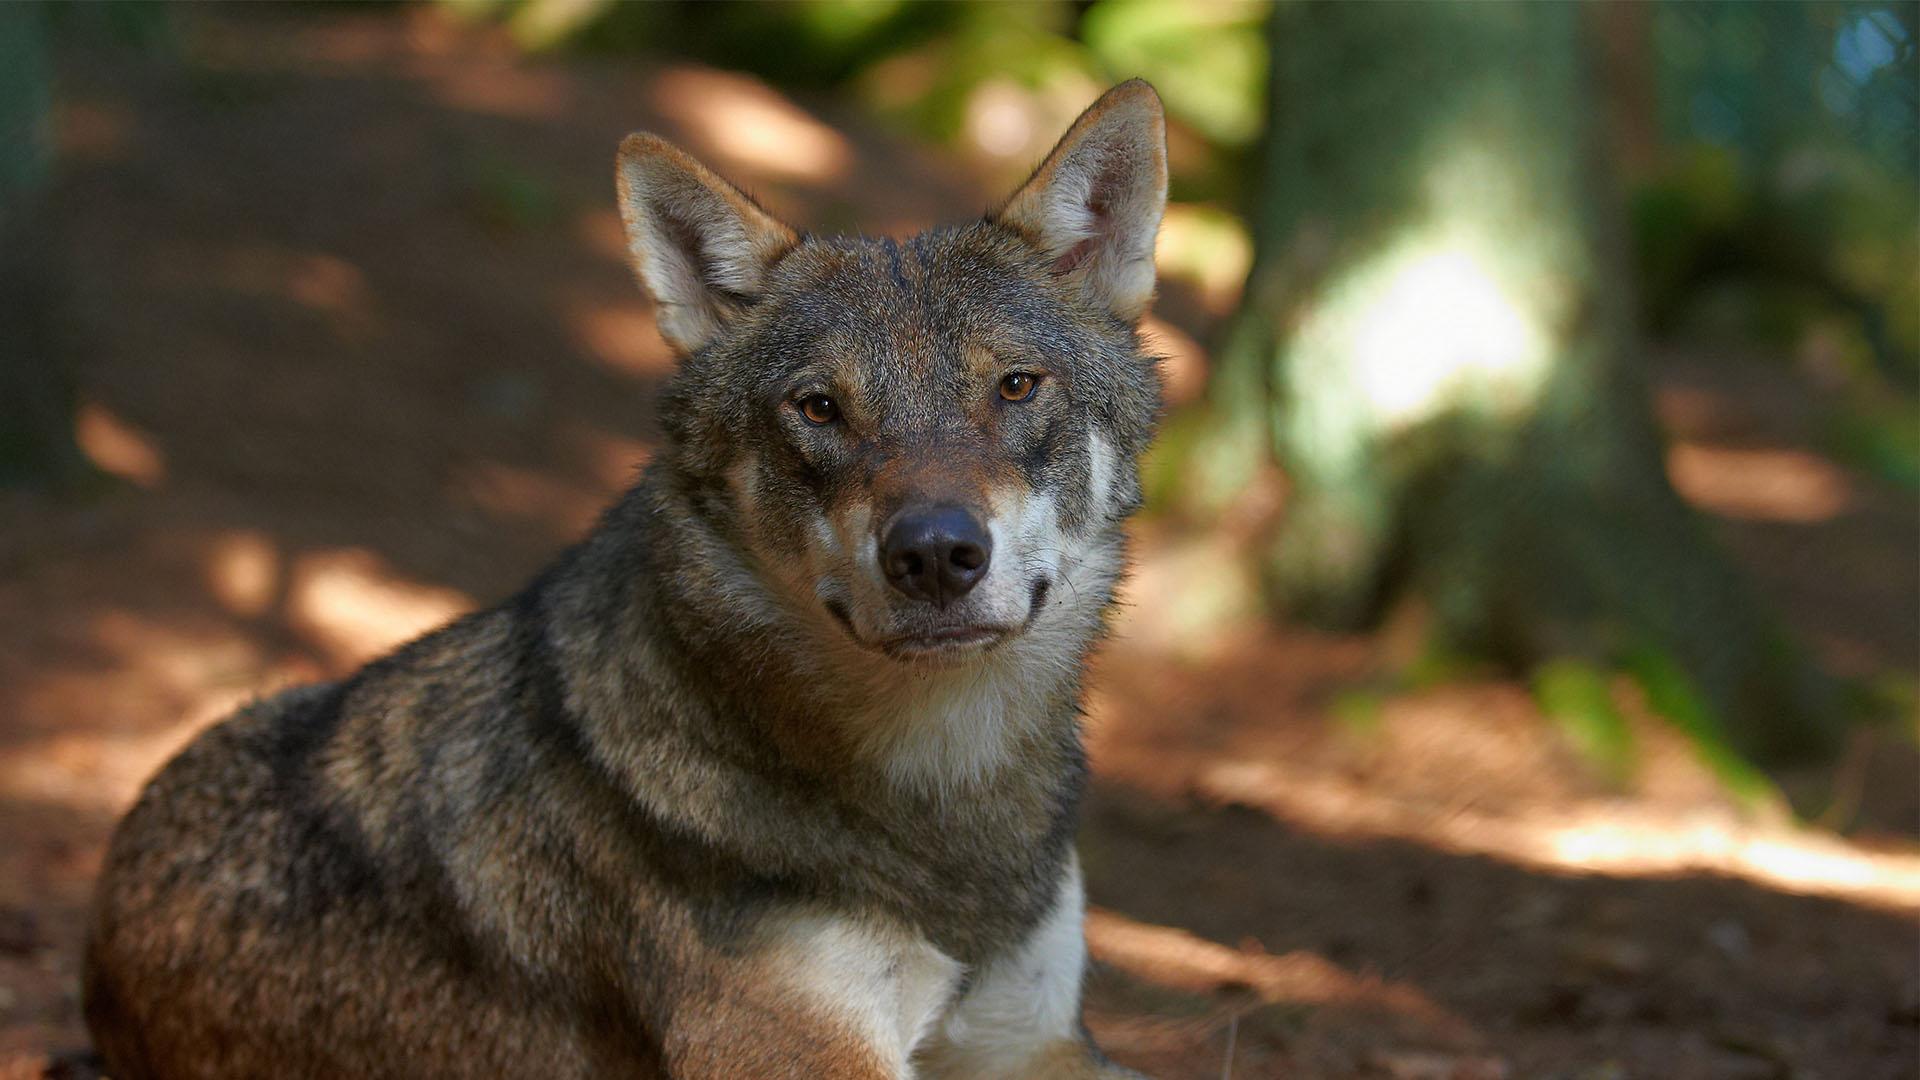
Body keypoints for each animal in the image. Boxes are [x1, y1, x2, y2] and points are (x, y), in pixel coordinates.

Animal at [86, 79, 1167, 1068]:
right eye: (819, 408)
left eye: (1015, 386)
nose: (936, 553)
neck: (945, 812)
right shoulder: (805, 1055)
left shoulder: (1039, 1041)